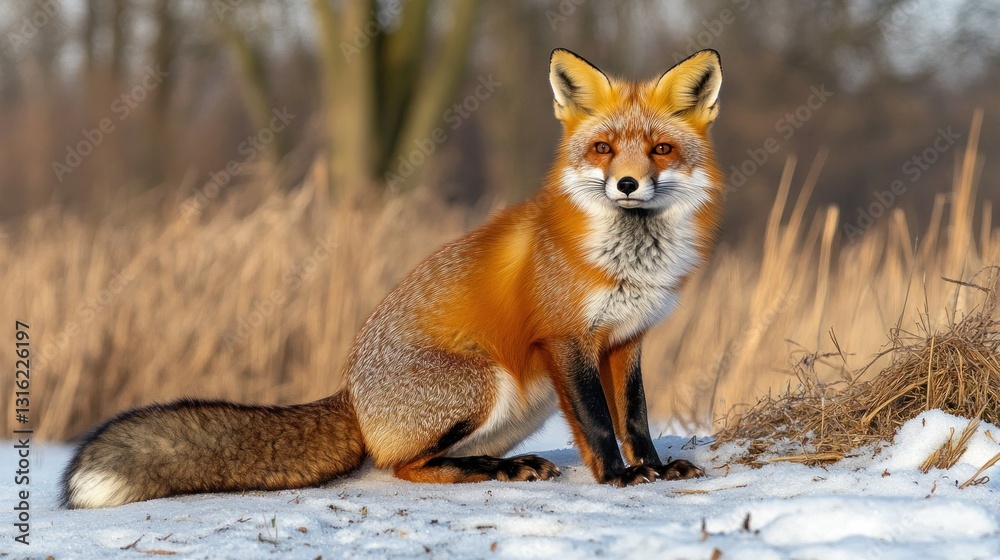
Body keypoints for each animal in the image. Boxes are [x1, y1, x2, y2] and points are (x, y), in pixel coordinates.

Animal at [62, 47, 724, 509]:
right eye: (604, 148)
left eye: (661, 149)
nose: (628, 185)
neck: (627, 261)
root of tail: (352, 393)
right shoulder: (567, 339)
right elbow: (598, 424)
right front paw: (618, 477)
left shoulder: (625, 341)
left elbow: (634, 418)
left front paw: (655, 468)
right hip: (484, 383)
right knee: (402, 465)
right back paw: (497, 470)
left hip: (522, 403)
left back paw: (505, 466)